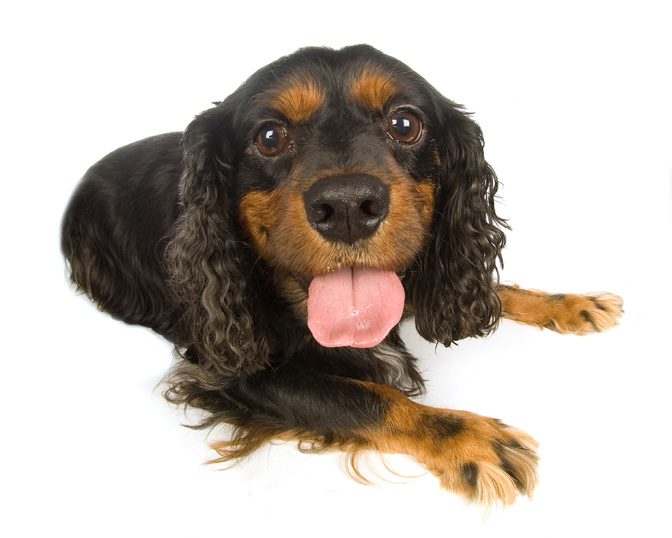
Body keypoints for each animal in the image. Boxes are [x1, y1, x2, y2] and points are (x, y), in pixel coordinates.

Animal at [60, 44, 624, 504]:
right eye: (270, 136)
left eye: (405, 124)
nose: (349, 206)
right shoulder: (234, 373)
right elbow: (369, 398)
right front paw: (471, 438)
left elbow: (494, 290)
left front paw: (573, 304)